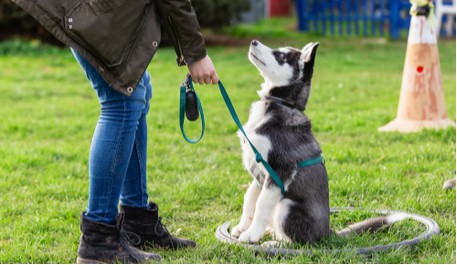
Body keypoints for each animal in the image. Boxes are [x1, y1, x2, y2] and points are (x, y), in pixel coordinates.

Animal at [232, 39, 402, 243]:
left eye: (280, 55)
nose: (253, 41)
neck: (280, 103)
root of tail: (327, 233)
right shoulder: (259, 172)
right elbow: (250, 198)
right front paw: (242, 227)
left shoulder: (281, 170)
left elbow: (262, 204)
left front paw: (251, 235)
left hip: (287, 207)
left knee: (298, 242)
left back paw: (272, 243)